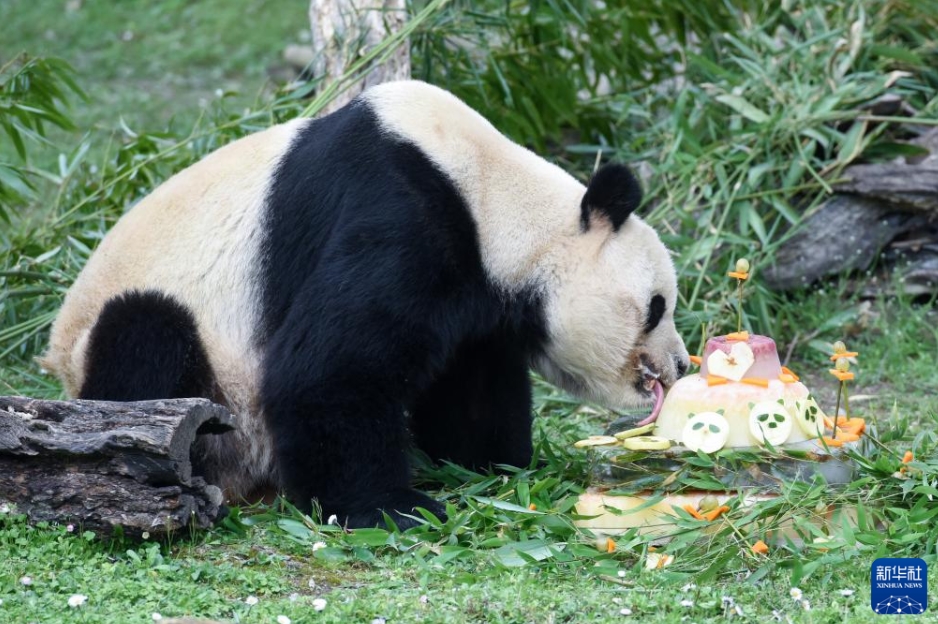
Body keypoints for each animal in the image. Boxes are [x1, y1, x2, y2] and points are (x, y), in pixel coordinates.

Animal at [40, 80, 688, 528]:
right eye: (657, 306)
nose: (682, 364)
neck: (490, 196)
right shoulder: (398, 210)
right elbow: (330, 370)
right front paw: (391, 507)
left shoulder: (472, 294)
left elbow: (470, 387)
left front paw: (495, 464)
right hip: (180, 359)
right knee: (144, 332)